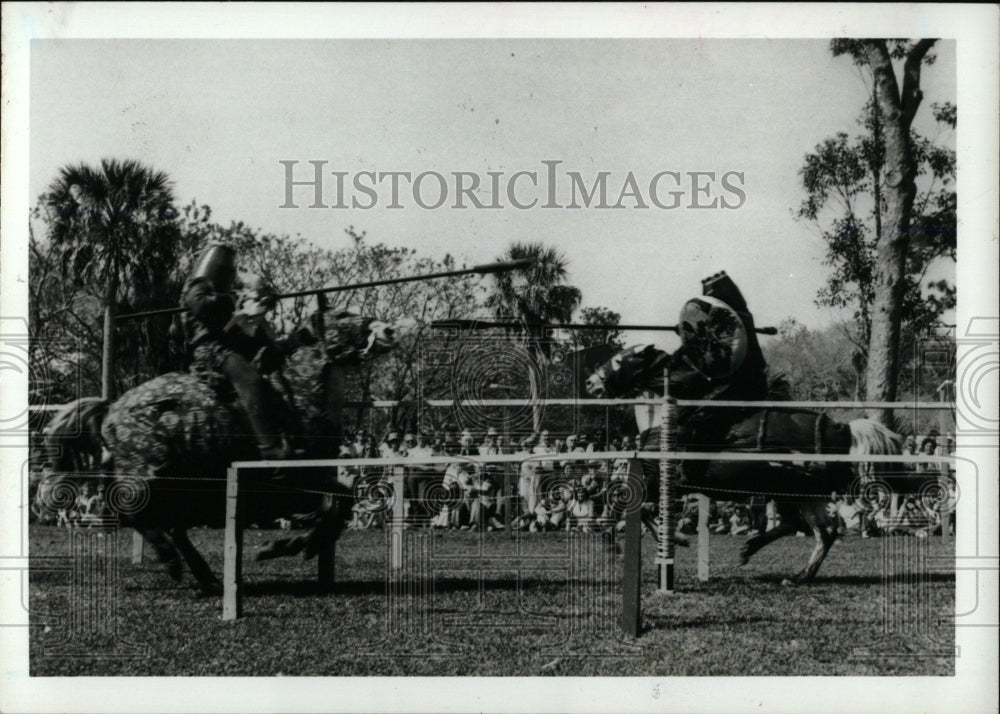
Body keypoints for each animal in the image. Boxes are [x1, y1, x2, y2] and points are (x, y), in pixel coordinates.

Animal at [39, 308, 398, 592]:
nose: (388, 330)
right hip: (150, 477)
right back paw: (173, 563)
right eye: (343, 316)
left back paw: (206, 577)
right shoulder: (290, 484)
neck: (297, 395)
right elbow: (337, 504)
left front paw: (294, 545)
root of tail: (112, 407)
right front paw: (282, 547)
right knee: (133, 511)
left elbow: (340, 503)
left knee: (169, 525)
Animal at [584, 342, 908, 580]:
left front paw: (673, 538)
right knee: (820, 531)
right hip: (798, 493)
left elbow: (626, 503)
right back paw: (787, 569)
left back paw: (782, 566)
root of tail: (844, 431)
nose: (590, 382)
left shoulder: (659, 482)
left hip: (792, 491)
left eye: (619, 360)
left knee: (814, 529)